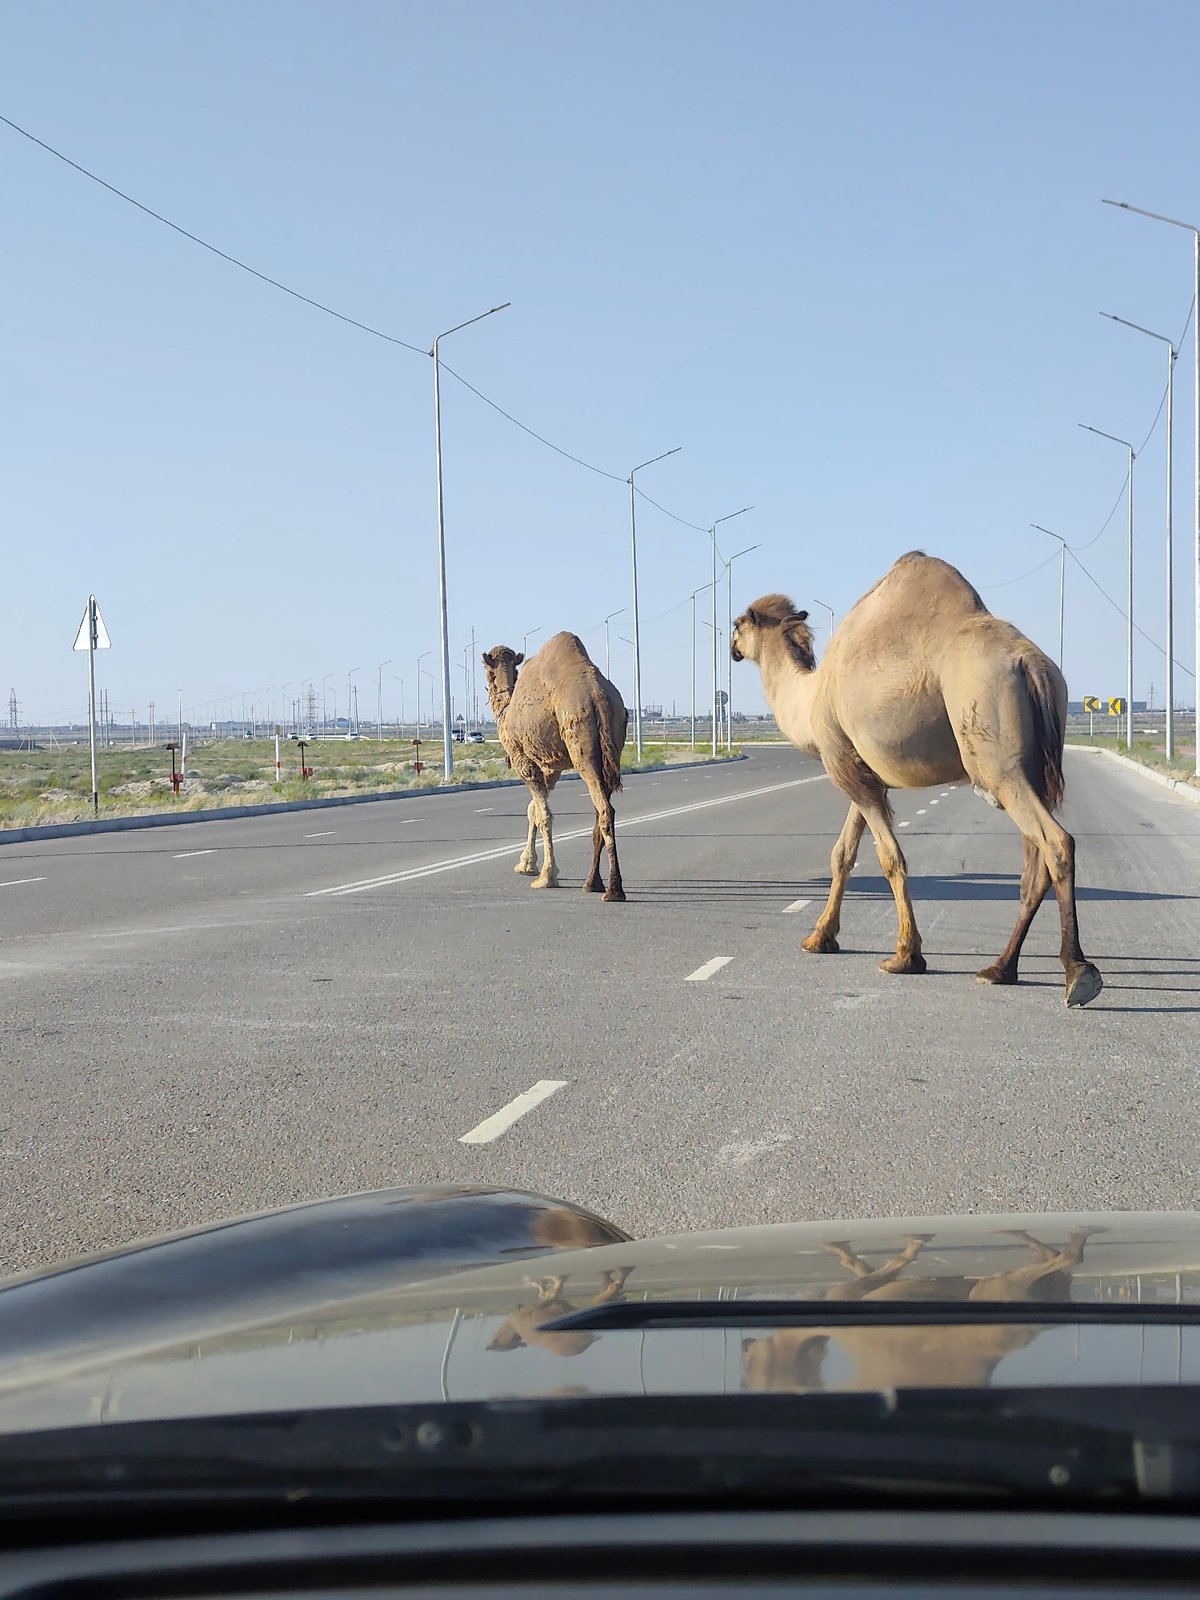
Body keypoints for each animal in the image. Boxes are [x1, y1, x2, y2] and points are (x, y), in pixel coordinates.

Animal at [482, 633, 628, 900]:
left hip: (580, 743)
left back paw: (613, 889)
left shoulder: (524, 760)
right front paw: (526, 864)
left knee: (605, 810)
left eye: (488, 671)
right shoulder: (551, 767)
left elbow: (543, 814)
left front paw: (546, 876)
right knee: (601, 809)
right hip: (613, 748)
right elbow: (532, 810)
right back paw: (592, 882)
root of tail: (599, 697)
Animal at [730, 552, 1102, 1006]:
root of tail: (1029, 662)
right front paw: (820, 938)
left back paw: (1078, 973)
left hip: (996, 761)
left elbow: (889, 858)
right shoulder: (863, 770)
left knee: (1057, 842)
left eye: (738, 624)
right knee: (1034, 866)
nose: (731, 648)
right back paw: (1000, 968)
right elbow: (842, 854)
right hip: (1034, 767)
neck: (809, 697)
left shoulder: (843, 765)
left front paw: (905, 956)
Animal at [742, 1229, 1092, 1393]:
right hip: (1008, 1292)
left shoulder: (847, 1297)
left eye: (751, 1369)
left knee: (1065, 1257)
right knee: (1060, 1261)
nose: (745, 1344)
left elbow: (874, 1264)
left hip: (995, 1293)